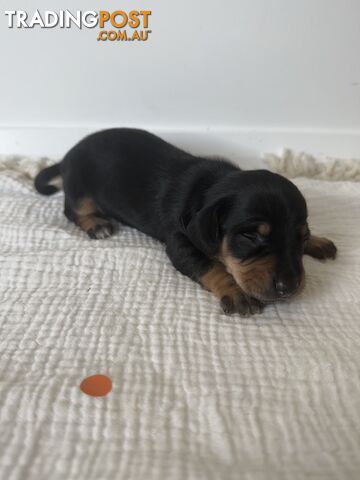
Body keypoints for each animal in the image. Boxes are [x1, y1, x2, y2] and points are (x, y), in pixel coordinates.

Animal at [35, 128, 336, 316]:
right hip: (81, 190)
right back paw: (96, 224)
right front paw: (236, 293)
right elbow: (211, 266)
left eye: (301, 237)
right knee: (72, 209)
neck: (213, 186)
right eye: (250, 236)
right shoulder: (180, 243)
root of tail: (66, 156)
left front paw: (319, 241)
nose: (290, 288)